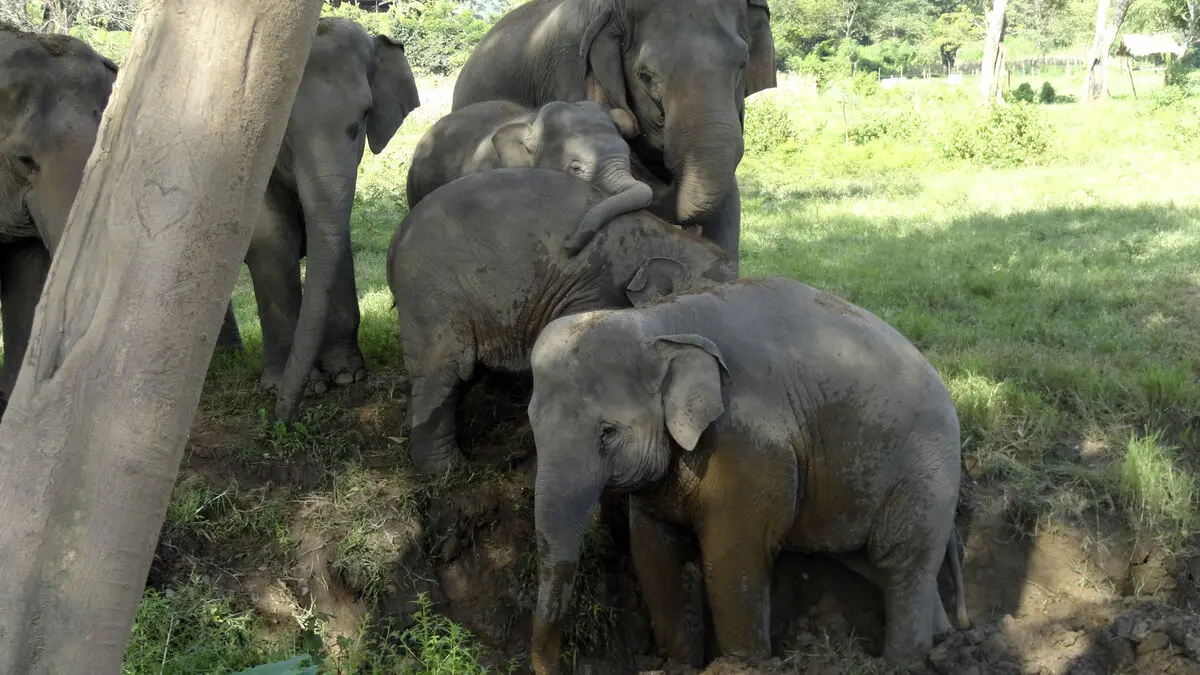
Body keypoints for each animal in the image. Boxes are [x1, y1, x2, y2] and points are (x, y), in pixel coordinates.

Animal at [386, 168, 734, 475]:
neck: (666, 237)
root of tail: (395, 240)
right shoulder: (597, 291)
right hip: (429, 294)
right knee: (445, 370)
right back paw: (448, 471)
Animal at [524, 276, 969, 673]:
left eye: (607, 433)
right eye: (532, 425)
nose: (556, 667)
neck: (657, 322)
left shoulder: (749, 445)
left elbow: (732, 552)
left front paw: (741, 666)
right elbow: (653, 552)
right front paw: (678, 666)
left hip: (926, 465)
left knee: (903, 560)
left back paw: (905, 662)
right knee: (874, 562)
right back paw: (944, 642)